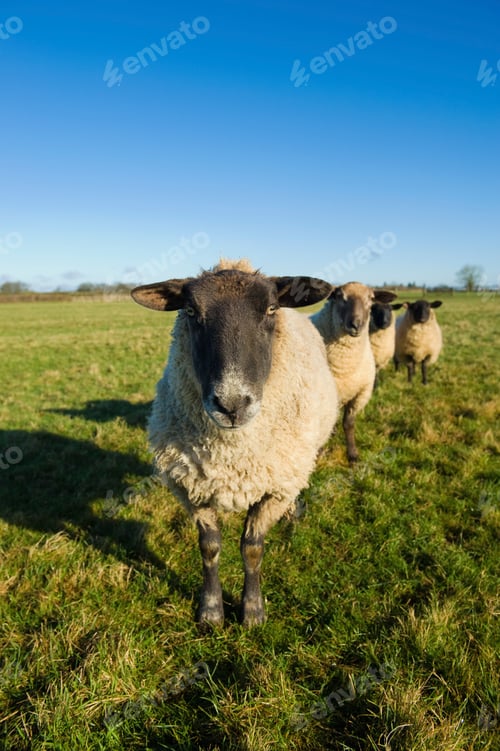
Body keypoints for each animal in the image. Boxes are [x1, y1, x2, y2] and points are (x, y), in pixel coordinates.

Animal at [131, 259, 338, 627]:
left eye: (271, 309)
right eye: (191, 311)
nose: (231, 405)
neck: (231, 454)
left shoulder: (274, 488)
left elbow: (252, 548)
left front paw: (253, 612)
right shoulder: (190, 487)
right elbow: (209, 547)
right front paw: (211, 611)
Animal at [311, 282, 397, 463]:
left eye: (371, 299)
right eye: (339, 296)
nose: (356, 325)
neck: (345, 367)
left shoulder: (361, 393)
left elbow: (348, 424)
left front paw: (353, 455)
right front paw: (320, 454)